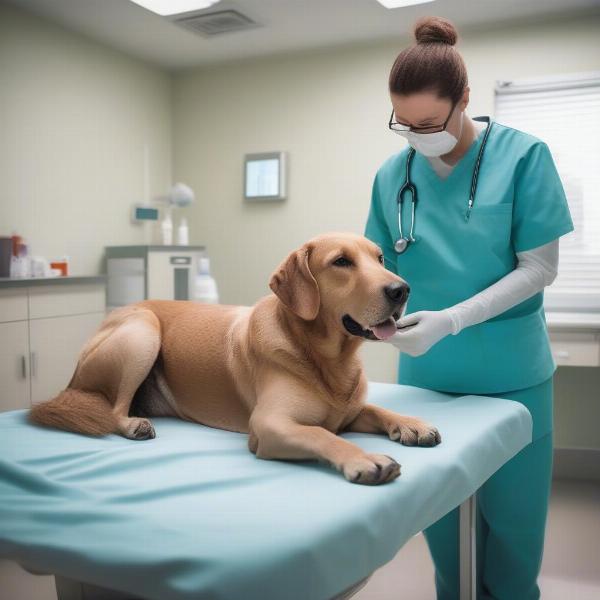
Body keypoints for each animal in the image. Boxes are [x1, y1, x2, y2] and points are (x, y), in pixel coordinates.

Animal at [29, 232, 440, 486]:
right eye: (341, 262)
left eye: (380, 258)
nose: (401, 289)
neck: (326, 357)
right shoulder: (269, 424)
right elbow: (321, 434)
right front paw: (363, 458)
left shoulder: (350, 411)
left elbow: (376, 410)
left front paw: (410, 423)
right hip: (143, 331)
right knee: (114, 408)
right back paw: (133, 424)